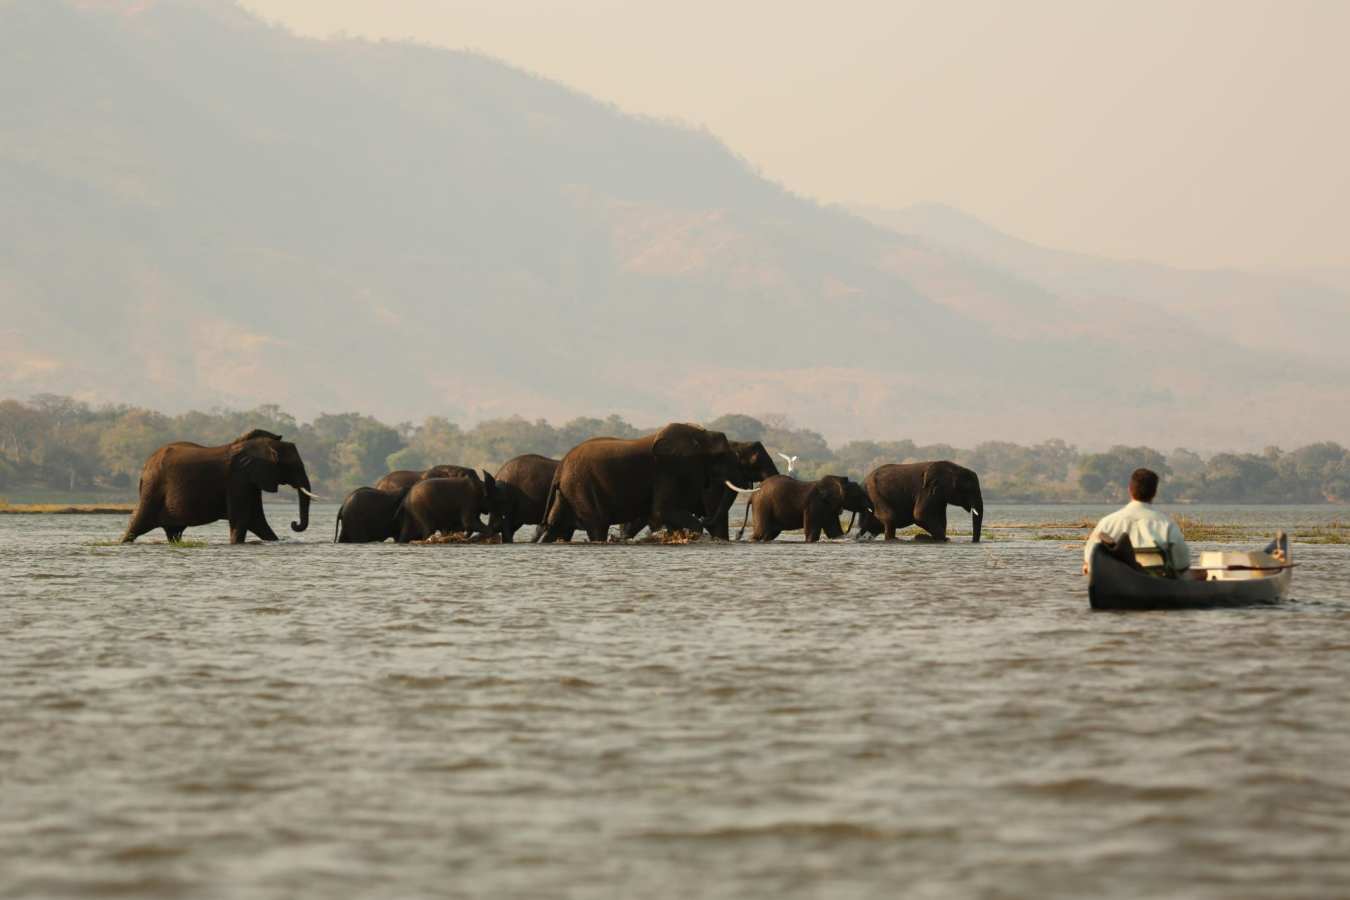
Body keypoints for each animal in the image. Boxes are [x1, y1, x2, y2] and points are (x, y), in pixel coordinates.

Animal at [121, 429, 316, 544]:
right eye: (293, 466)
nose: (294, 523)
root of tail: (145, 467)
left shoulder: (250, 481)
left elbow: (257, 520)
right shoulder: (238, 480)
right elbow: (242, 519)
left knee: (172, 532)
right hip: (153, 488)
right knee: (137, 524)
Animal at [536, 423, 760, 542]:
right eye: (720, 455)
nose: (739, 533)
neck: (697, 435)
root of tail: (560, 467)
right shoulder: (668, 470)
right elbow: (663, 511)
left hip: (568, 490)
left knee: (555, 524)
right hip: (581, 488)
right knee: (596, 526)